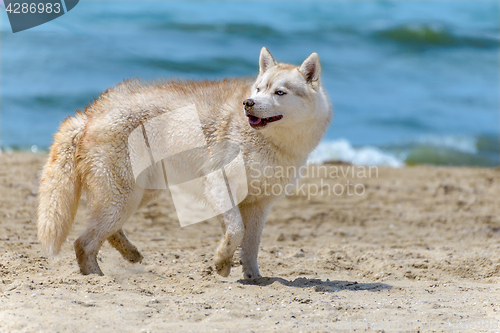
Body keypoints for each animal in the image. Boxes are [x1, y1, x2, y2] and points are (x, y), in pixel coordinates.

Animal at [37, 48, 330, 278]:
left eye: (279, 92)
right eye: (259, 89)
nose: (248, 103)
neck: (270, 142)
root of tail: (89, 115)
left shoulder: (259, 204)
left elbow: (249, 246)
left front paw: (251, 277)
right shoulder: (218, 183)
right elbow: (235, 231)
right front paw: (221, 263)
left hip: (139, 194)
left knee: (102, 233)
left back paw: (130, 254)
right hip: (124, 197)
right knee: (83, 243)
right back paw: (97, 277)